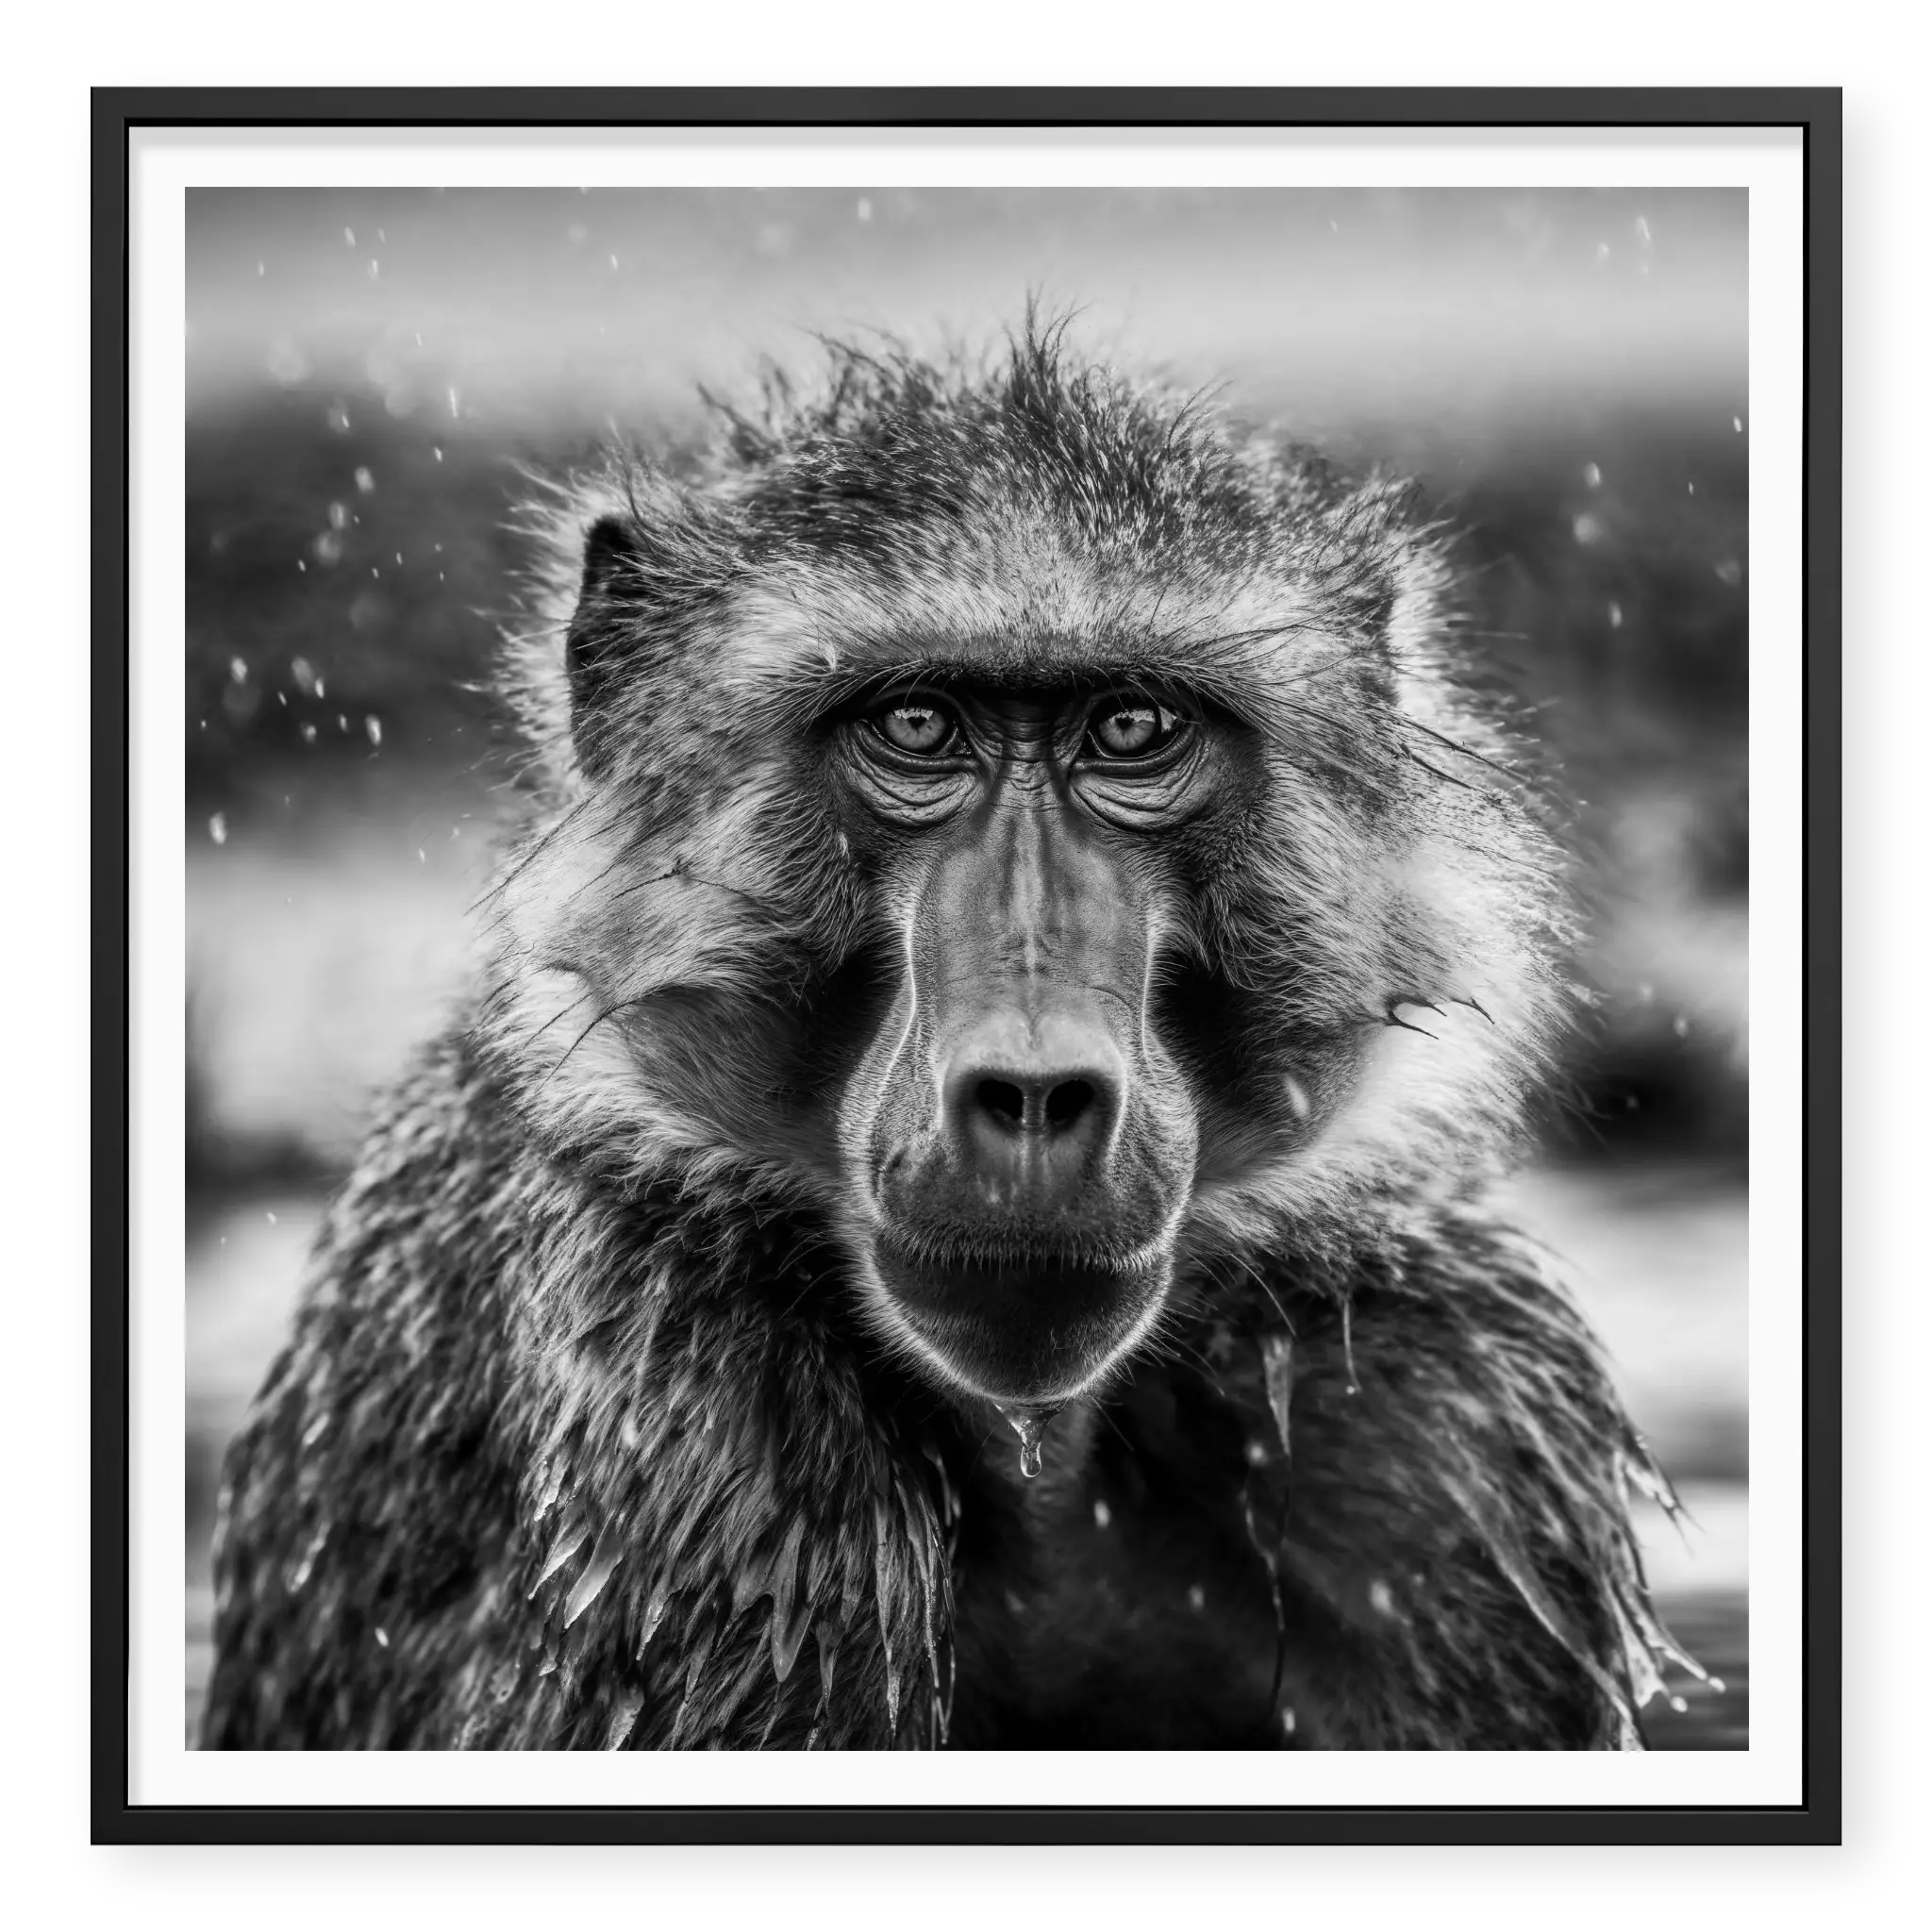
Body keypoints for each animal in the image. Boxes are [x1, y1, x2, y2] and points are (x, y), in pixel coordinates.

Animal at [201, 316, 1715, 1752]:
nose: (1034, 1089)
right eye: (918, 726)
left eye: (1131, 729)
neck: (1044, 1456)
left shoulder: (1449, 1433)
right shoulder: (698, 1431)